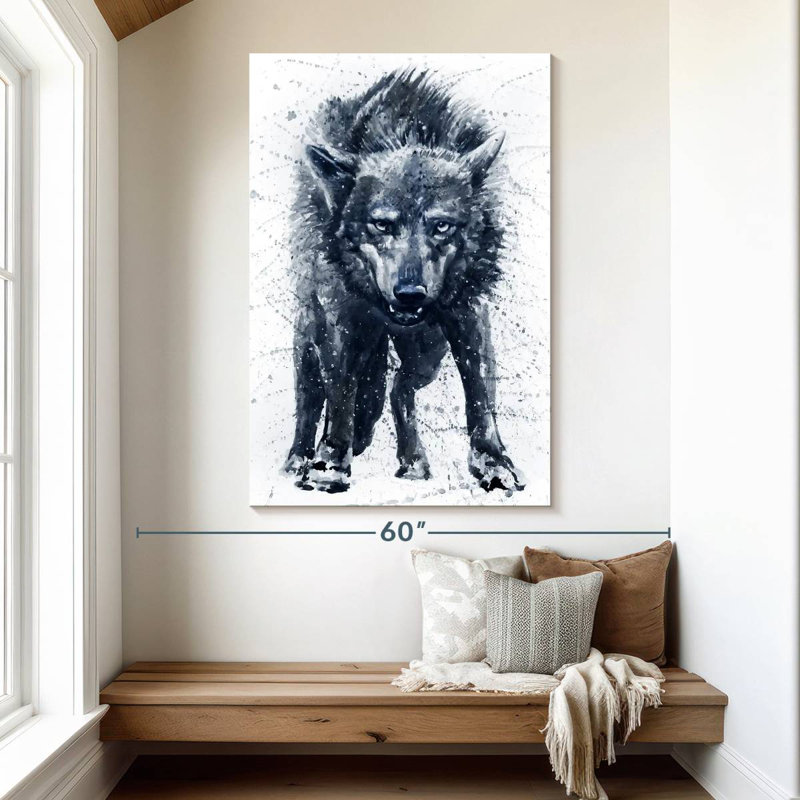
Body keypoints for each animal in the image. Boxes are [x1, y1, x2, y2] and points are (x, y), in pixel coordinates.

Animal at [283, 69, 525, 495]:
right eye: (382, 224)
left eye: (441, 226)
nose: (411, 295)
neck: (404, 131)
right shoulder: (340, 319)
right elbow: (340, 393)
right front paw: (329, 465)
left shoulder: (468, 312)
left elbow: (480, 394)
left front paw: (493, 463)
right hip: (309, 337)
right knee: (310, 399)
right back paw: (298, 460)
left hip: (427, 352)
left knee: (400, 387)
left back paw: (413, 461)